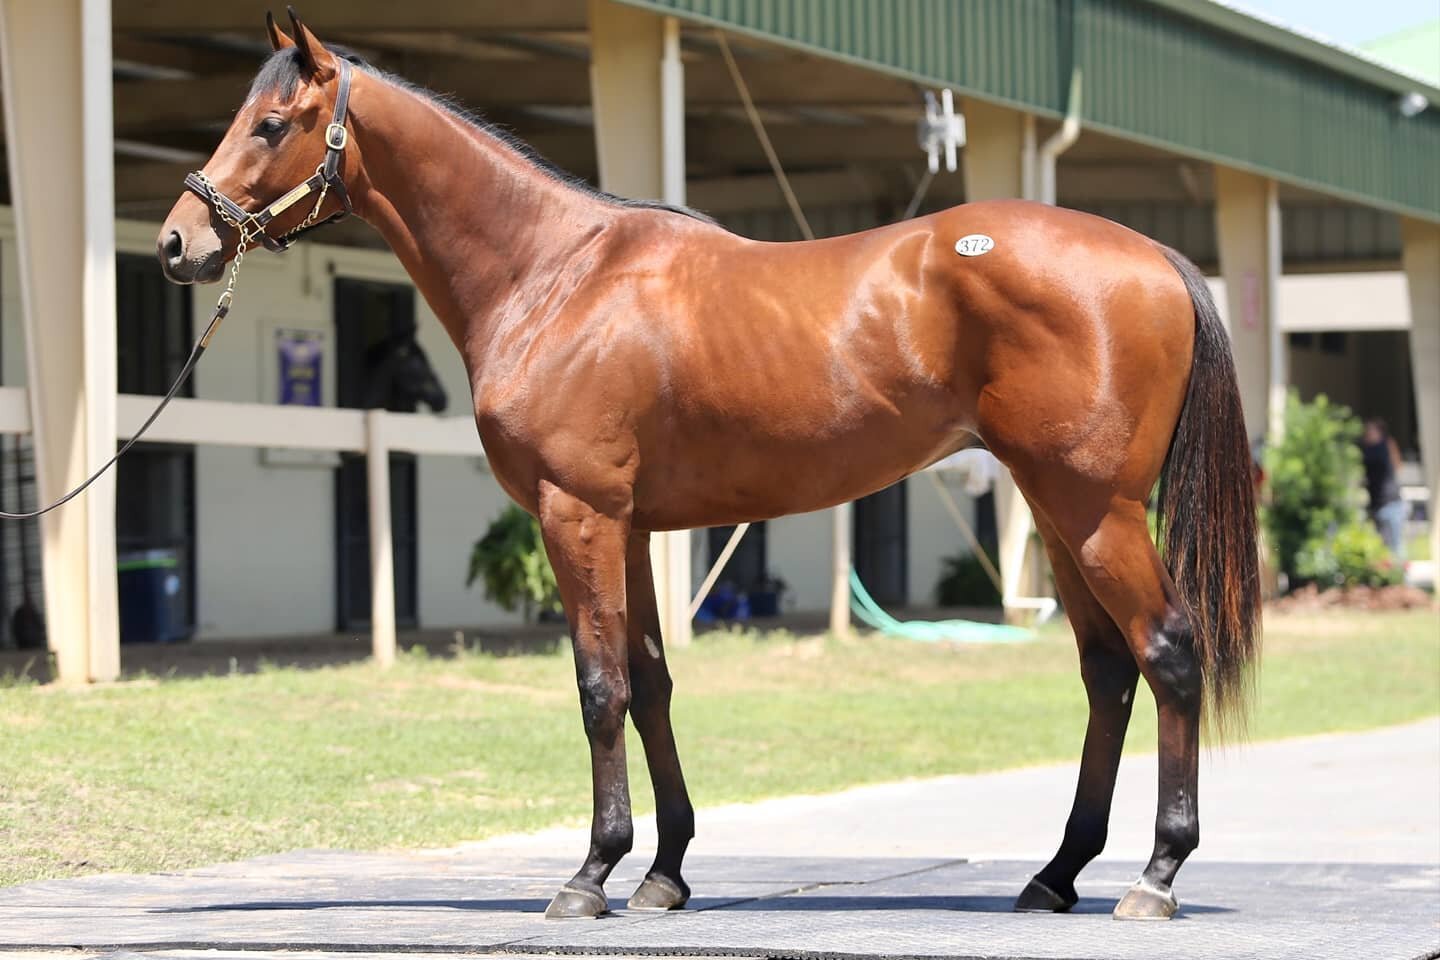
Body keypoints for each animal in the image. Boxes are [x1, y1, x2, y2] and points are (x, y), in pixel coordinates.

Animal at [160, 7, 1261, 921]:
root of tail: (1157, 258)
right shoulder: (631, 528)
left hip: (1097, 511)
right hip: (1058, 509)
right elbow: (649, 683)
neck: (555, 274)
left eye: (271, 125)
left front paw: (590, 875)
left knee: (1169, 653)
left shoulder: (577, 514)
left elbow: (598, 686)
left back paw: (1156, 878)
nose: (178, 242)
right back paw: (1056, 874)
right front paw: (663, 874)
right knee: (1108, 671)